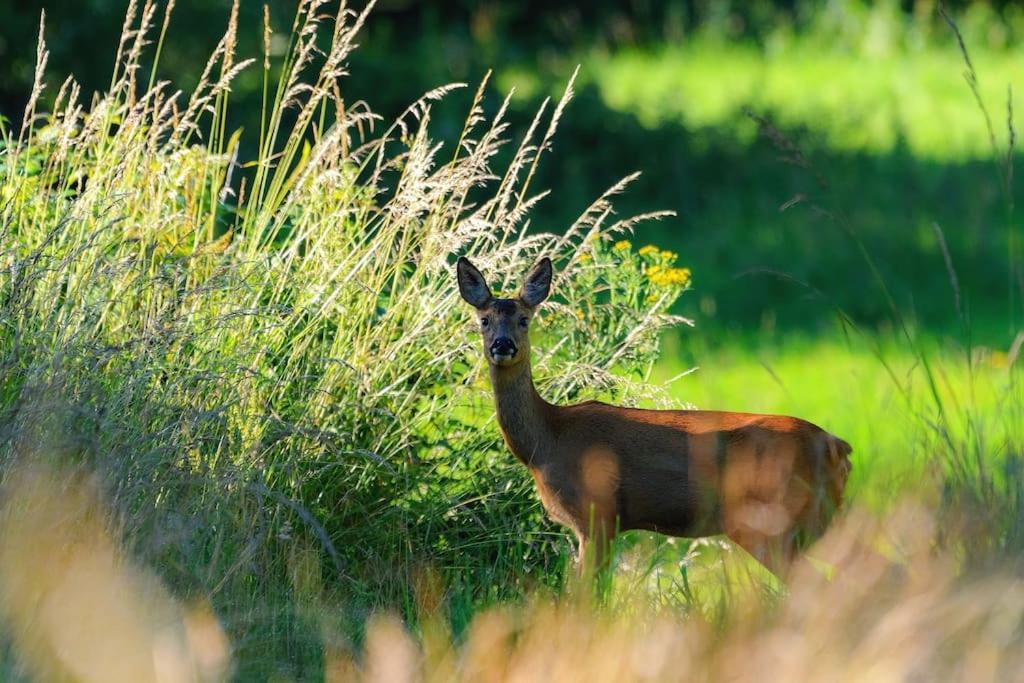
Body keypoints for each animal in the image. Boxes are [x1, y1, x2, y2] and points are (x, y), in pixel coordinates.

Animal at [460, 255, 851, 577]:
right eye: (483, 321)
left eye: (524, 320)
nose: (502, 345)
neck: (547, 440)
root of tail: (837, 446)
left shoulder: (597, 512)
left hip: (769, 519)